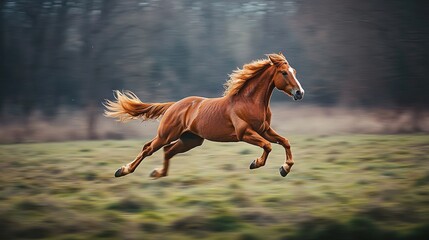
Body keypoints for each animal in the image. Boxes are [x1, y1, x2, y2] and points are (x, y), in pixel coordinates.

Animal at [104, 53, 304, 180]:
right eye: (284, 73)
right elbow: (268, 146)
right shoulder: (245, 133)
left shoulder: (264, 130)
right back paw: (122, 170)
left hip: (190, 140)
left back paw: (158, 173)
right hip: (166, 135)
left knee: (168, 151)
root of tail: (174, 105)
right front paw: (256, 163)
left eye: (294, 72)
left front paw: (285, 168)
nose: (299, 93)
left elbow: (285, 141)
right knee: (148, 148)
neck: (249, 101)